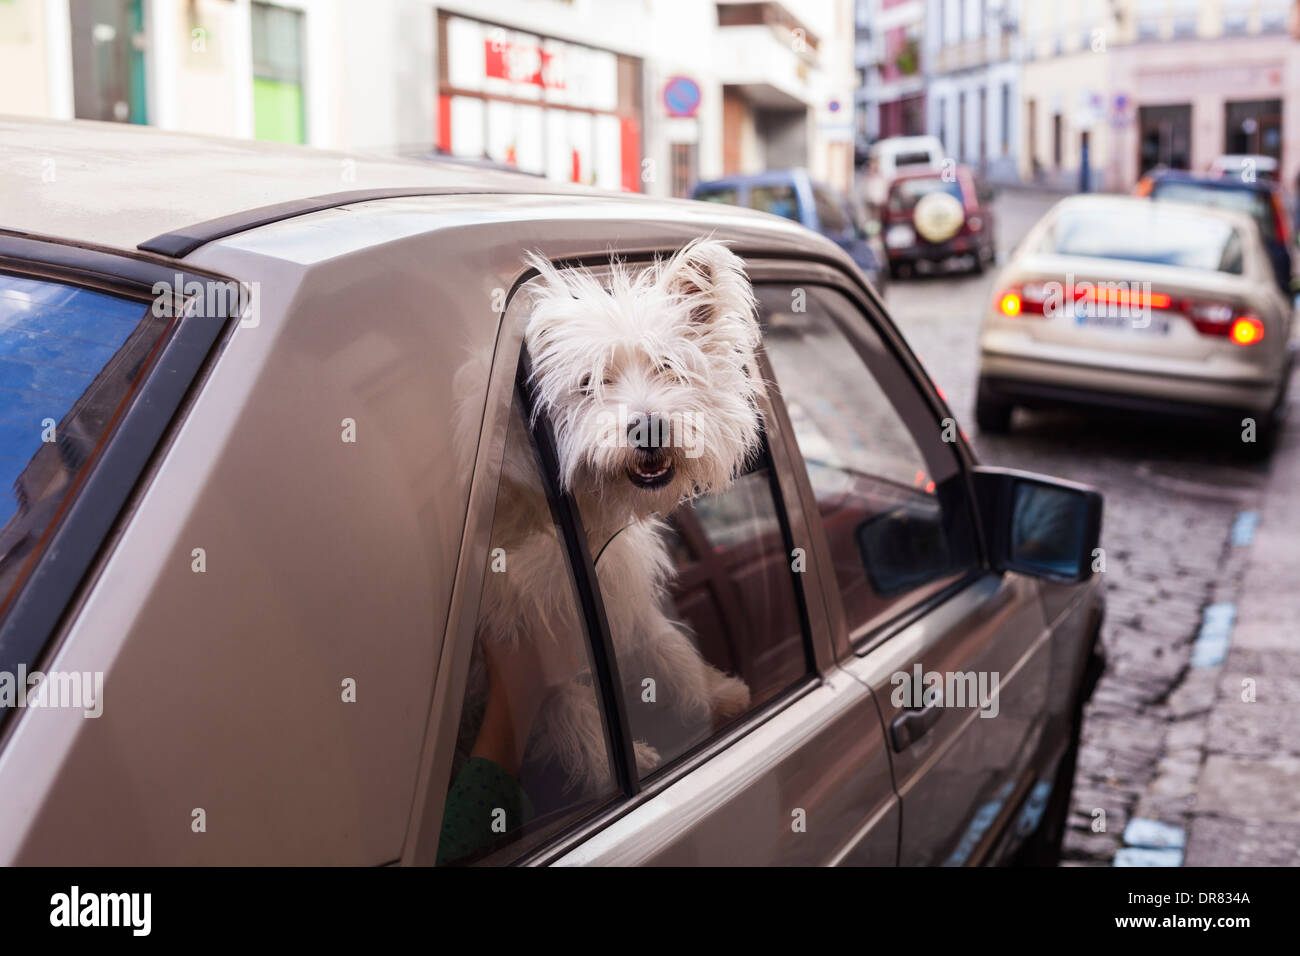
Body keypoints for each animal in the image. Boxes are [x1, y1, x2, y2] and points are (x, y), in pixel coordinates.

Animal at [460, 240, 759, 801]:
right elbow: (563, 700)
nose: (649, 428)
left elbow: (665, 643)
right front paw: (611, 762)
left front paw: (714, 691)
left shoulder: (620, 581)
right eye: (589, 383)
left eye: (668, 366)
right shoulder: (520, 624)